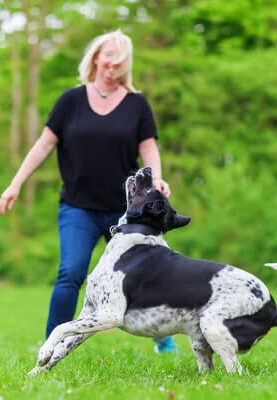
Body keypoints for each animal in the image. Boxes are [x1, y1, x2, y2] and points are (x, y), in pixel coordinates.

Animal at [28, 166, 276, 376]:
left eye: (149, 189)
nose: (147, 168)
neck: (136, 234)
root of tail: (272, 305)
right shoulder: (90, 313)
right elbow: (64, 345)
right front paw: (38, 371)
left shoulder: (110, 314)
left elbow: (60, 328)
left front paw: (43, 353)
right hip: (200, 340)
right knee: (209, 371)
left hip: (213, 326)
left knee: (235, 372)